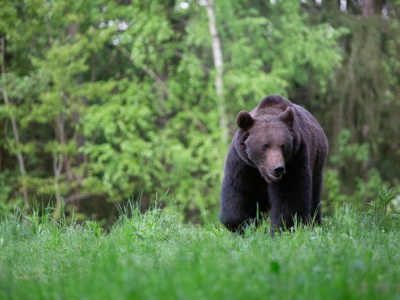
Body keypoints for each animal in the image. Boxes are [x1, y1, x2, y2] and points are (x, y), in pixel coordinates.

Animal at [219, 95, 328, 233]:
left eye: (283, 146)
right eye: (265, 146)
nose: (278, 168)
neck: (261, 171)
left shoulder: (296, 159)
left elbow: (289, 195)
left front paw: (283, 227)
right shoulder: (244, 165)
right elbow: (240, 191)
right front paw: (238, 225)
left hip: (316, 165)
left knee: (314, 196)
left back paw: (313, 223)